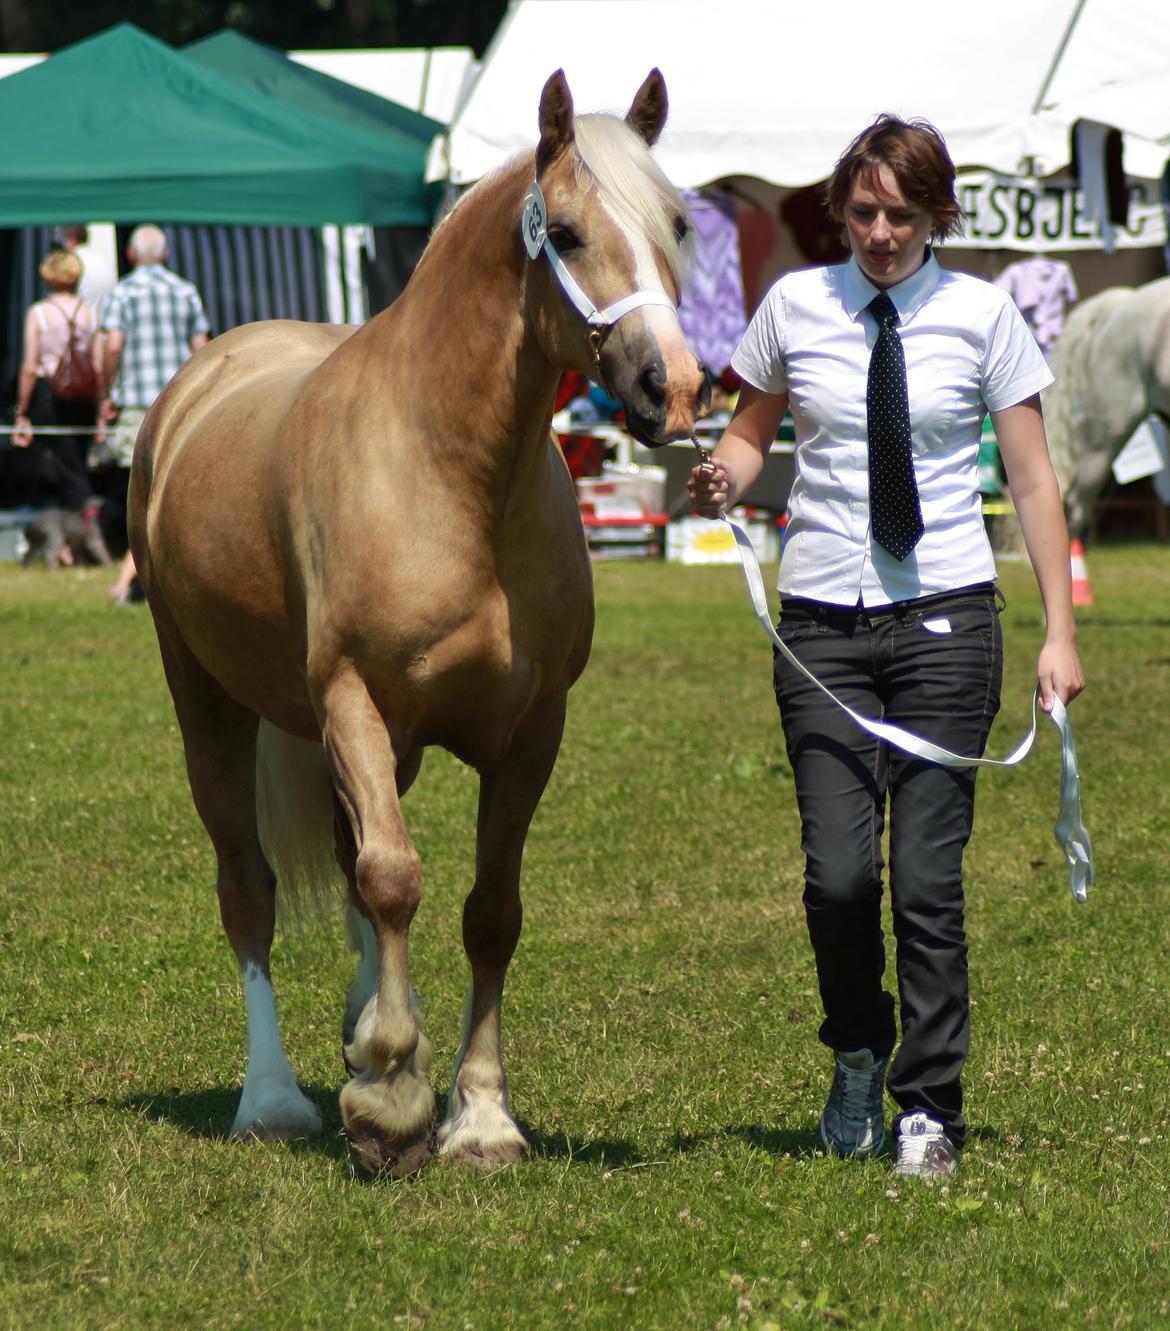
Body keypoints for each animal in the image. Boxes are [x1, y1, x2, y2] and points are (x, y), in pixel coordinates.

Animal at [132, 72, 708, 1176]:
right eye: (569, 231)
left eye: (679, 225)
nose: (676, 386)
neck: (451, 474)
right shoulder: (353, 701)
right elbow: (395, 879)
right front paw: (391, 1103)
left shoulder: (530, 732)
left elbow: (489, 913)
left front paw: (476, 1113)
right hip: (208, 705)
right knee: (251, 887)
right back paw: (275, 1097)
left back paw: (362, 1031)